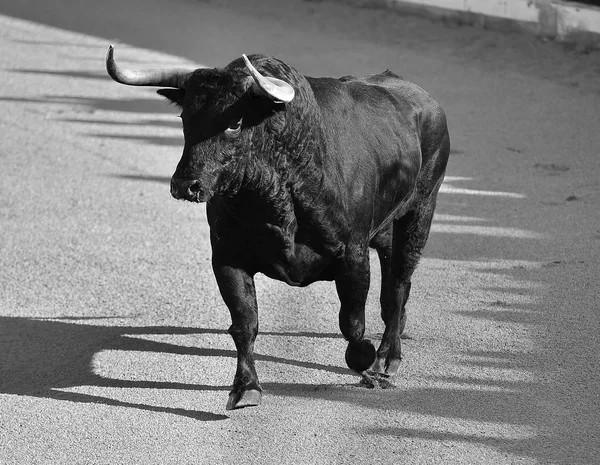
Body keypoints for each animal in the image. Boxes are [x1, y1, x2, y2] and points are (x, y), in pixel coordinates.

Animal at [105, 46, 448, 410]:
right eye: (185, 118)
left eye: (235, 122)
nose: (186, 185)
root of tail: (427, 103)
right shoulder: (227, 258)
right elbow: (245, 322)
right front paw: (246, 387)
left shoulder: (352, 257)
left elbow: (352, 322)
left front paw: (365, 358)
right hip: (386, 231)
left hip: (419, 213)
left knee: (397, 285)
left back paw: (387, 357)